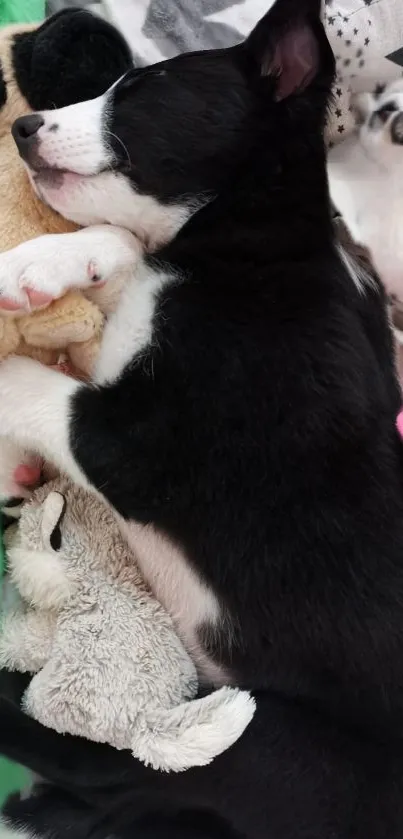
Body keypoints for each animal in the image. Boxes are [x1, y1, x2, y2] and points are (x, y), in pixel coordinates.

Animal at [0, 0, 403, 836]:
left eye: (140, 92)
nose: (25, 126)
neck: (255, 247)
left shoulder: (144, 446)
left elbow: (31, 384)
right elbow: (124, 248)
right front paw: (45, 264)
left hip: (274, 743)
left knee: (112, 767)